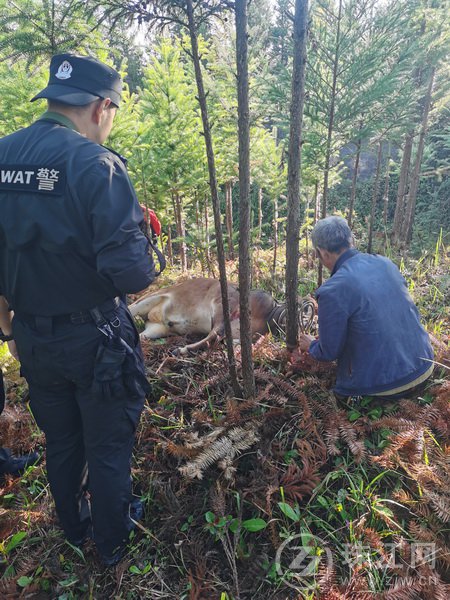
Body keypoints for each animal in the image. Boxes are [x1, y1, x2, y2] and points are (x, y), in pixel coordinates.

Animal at [128, 278, 314, 354]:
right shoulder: (223, 306)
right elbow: (215, 333)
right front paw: (182, 349)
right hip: (147, 300)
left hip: (156, 328)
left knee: (142, 336)